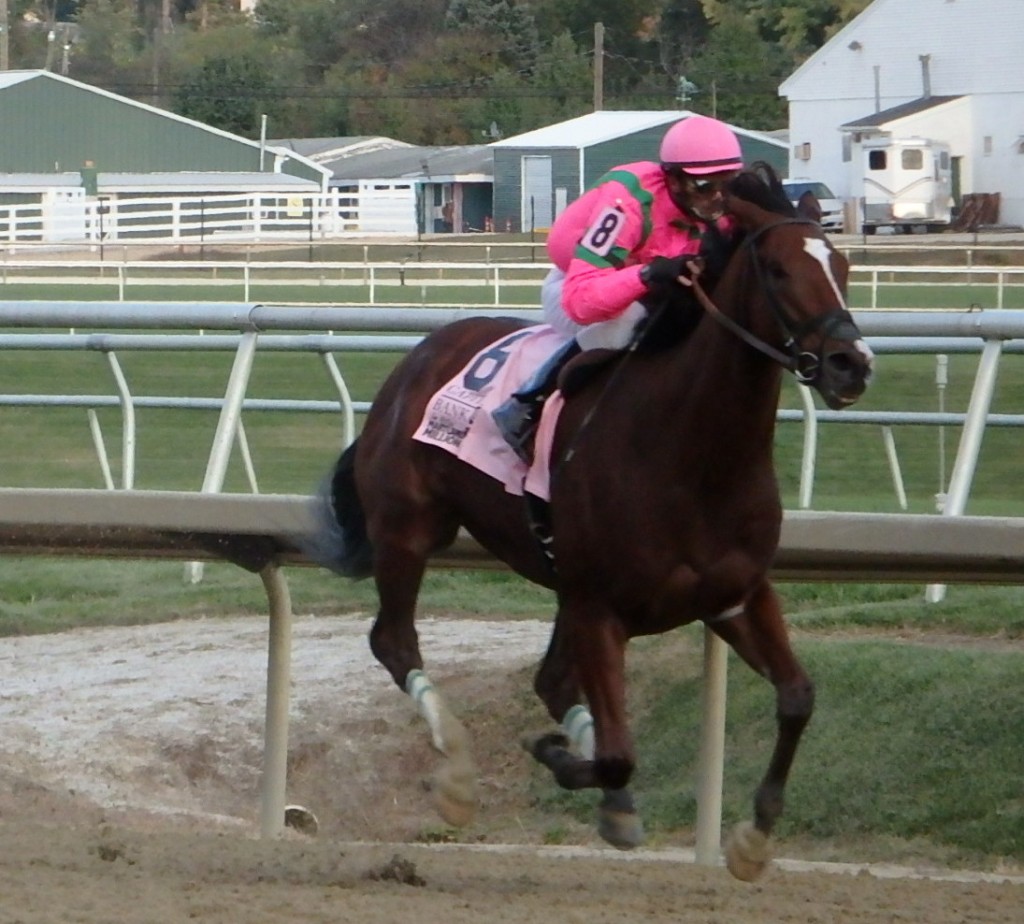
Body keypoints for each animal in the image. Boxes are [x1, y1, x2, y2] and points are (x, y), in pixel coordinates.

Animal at [309, 165, 872, 880]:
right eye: (776, 269)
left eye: (843, 265)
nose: (851, 364)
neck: (694, 455)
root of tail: (415, 360)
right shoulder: (602, 607)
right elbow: (617, 755)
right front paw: (568, 763)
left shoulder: (734, 594)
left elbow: (797, 697)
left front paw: (753, 836)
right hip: (410, 534)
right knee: (395, 642)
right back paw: (459, 771)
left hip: (561, 582)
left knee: (550, 679)